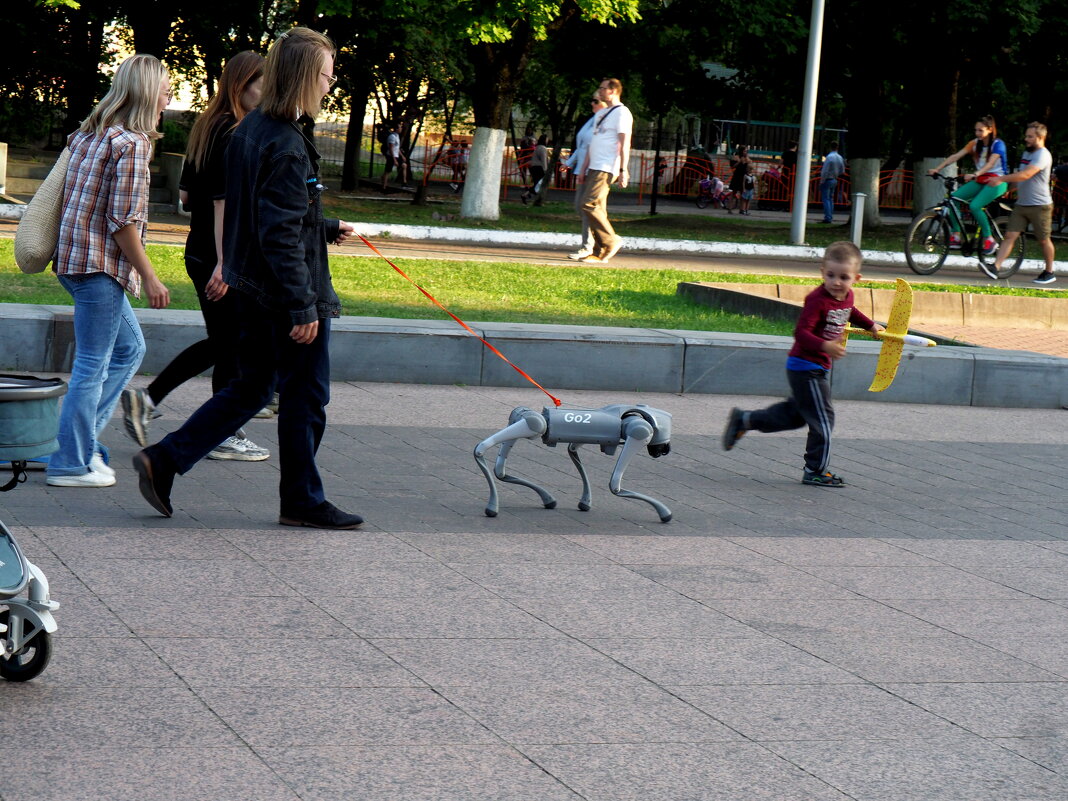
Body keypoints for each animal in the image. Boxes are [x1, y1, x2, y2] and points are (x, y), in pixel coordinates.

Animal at [474, 403, 670, 523]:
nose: (664, 450)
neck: (625, 420)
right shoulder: (638, 432)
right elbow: (615, 486)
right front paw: (664, 512)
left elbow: (573, 450)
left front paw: (585, 502)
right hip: (535, 425)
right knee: (482, 448)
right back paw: (493, 506)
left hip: (521, 420)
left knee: (500, 468)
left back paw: (547, 498)